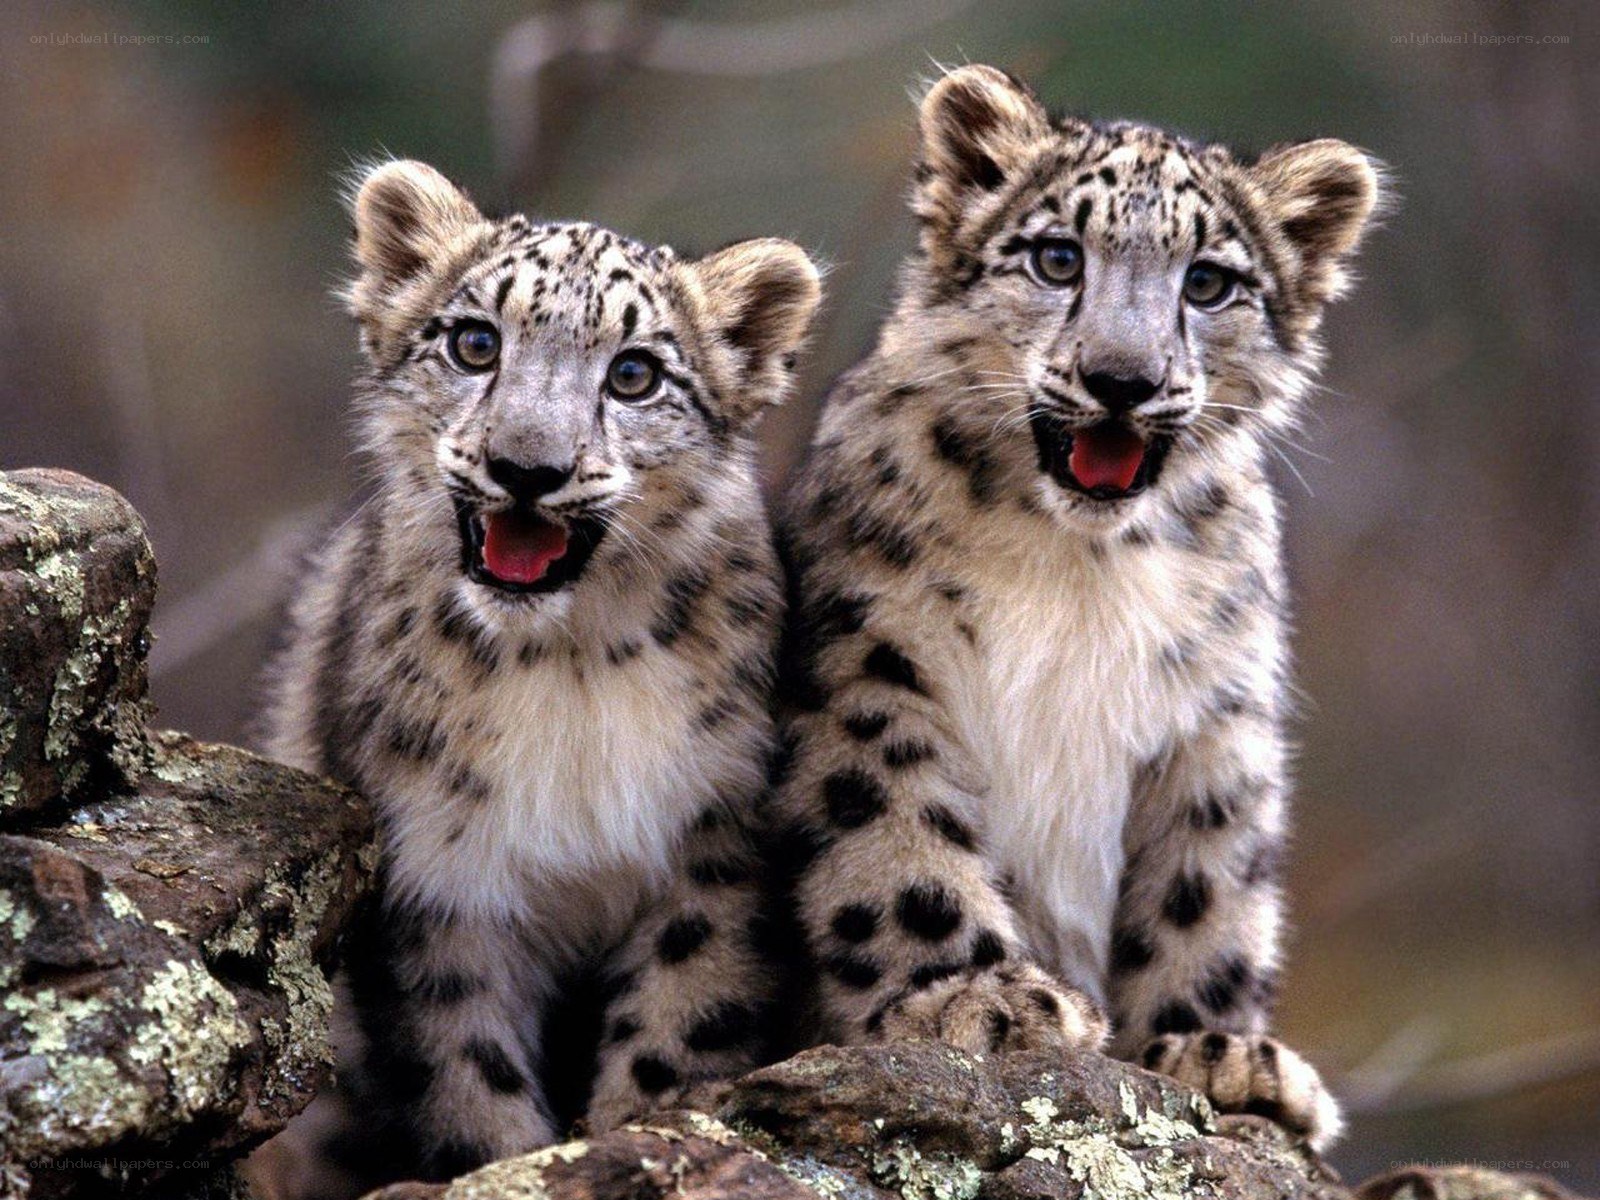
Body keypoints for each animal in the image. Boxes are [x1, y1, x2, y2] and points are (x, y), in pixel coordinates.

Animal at [251, 159, 820, 1196]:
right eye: (475, 342)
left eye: (634, 373)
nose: (526, 467)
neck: (568, 670)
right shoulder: (439, 876)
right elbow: (466, 1068)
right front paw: (509, 1162)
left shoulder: (712, 844)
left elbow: (680, 1024)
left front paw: (642, 1131)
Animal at [770, 64, 1387, 1150]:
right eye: (1057, 257)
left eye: (1208, 282)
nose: (1121, 379)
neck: (1079, 566)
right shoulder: (869, 661)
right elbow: (894, 829)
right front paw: (974, 998)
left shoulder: (1215, 710)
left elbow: (1206, 883)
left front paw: (1217, 1052)